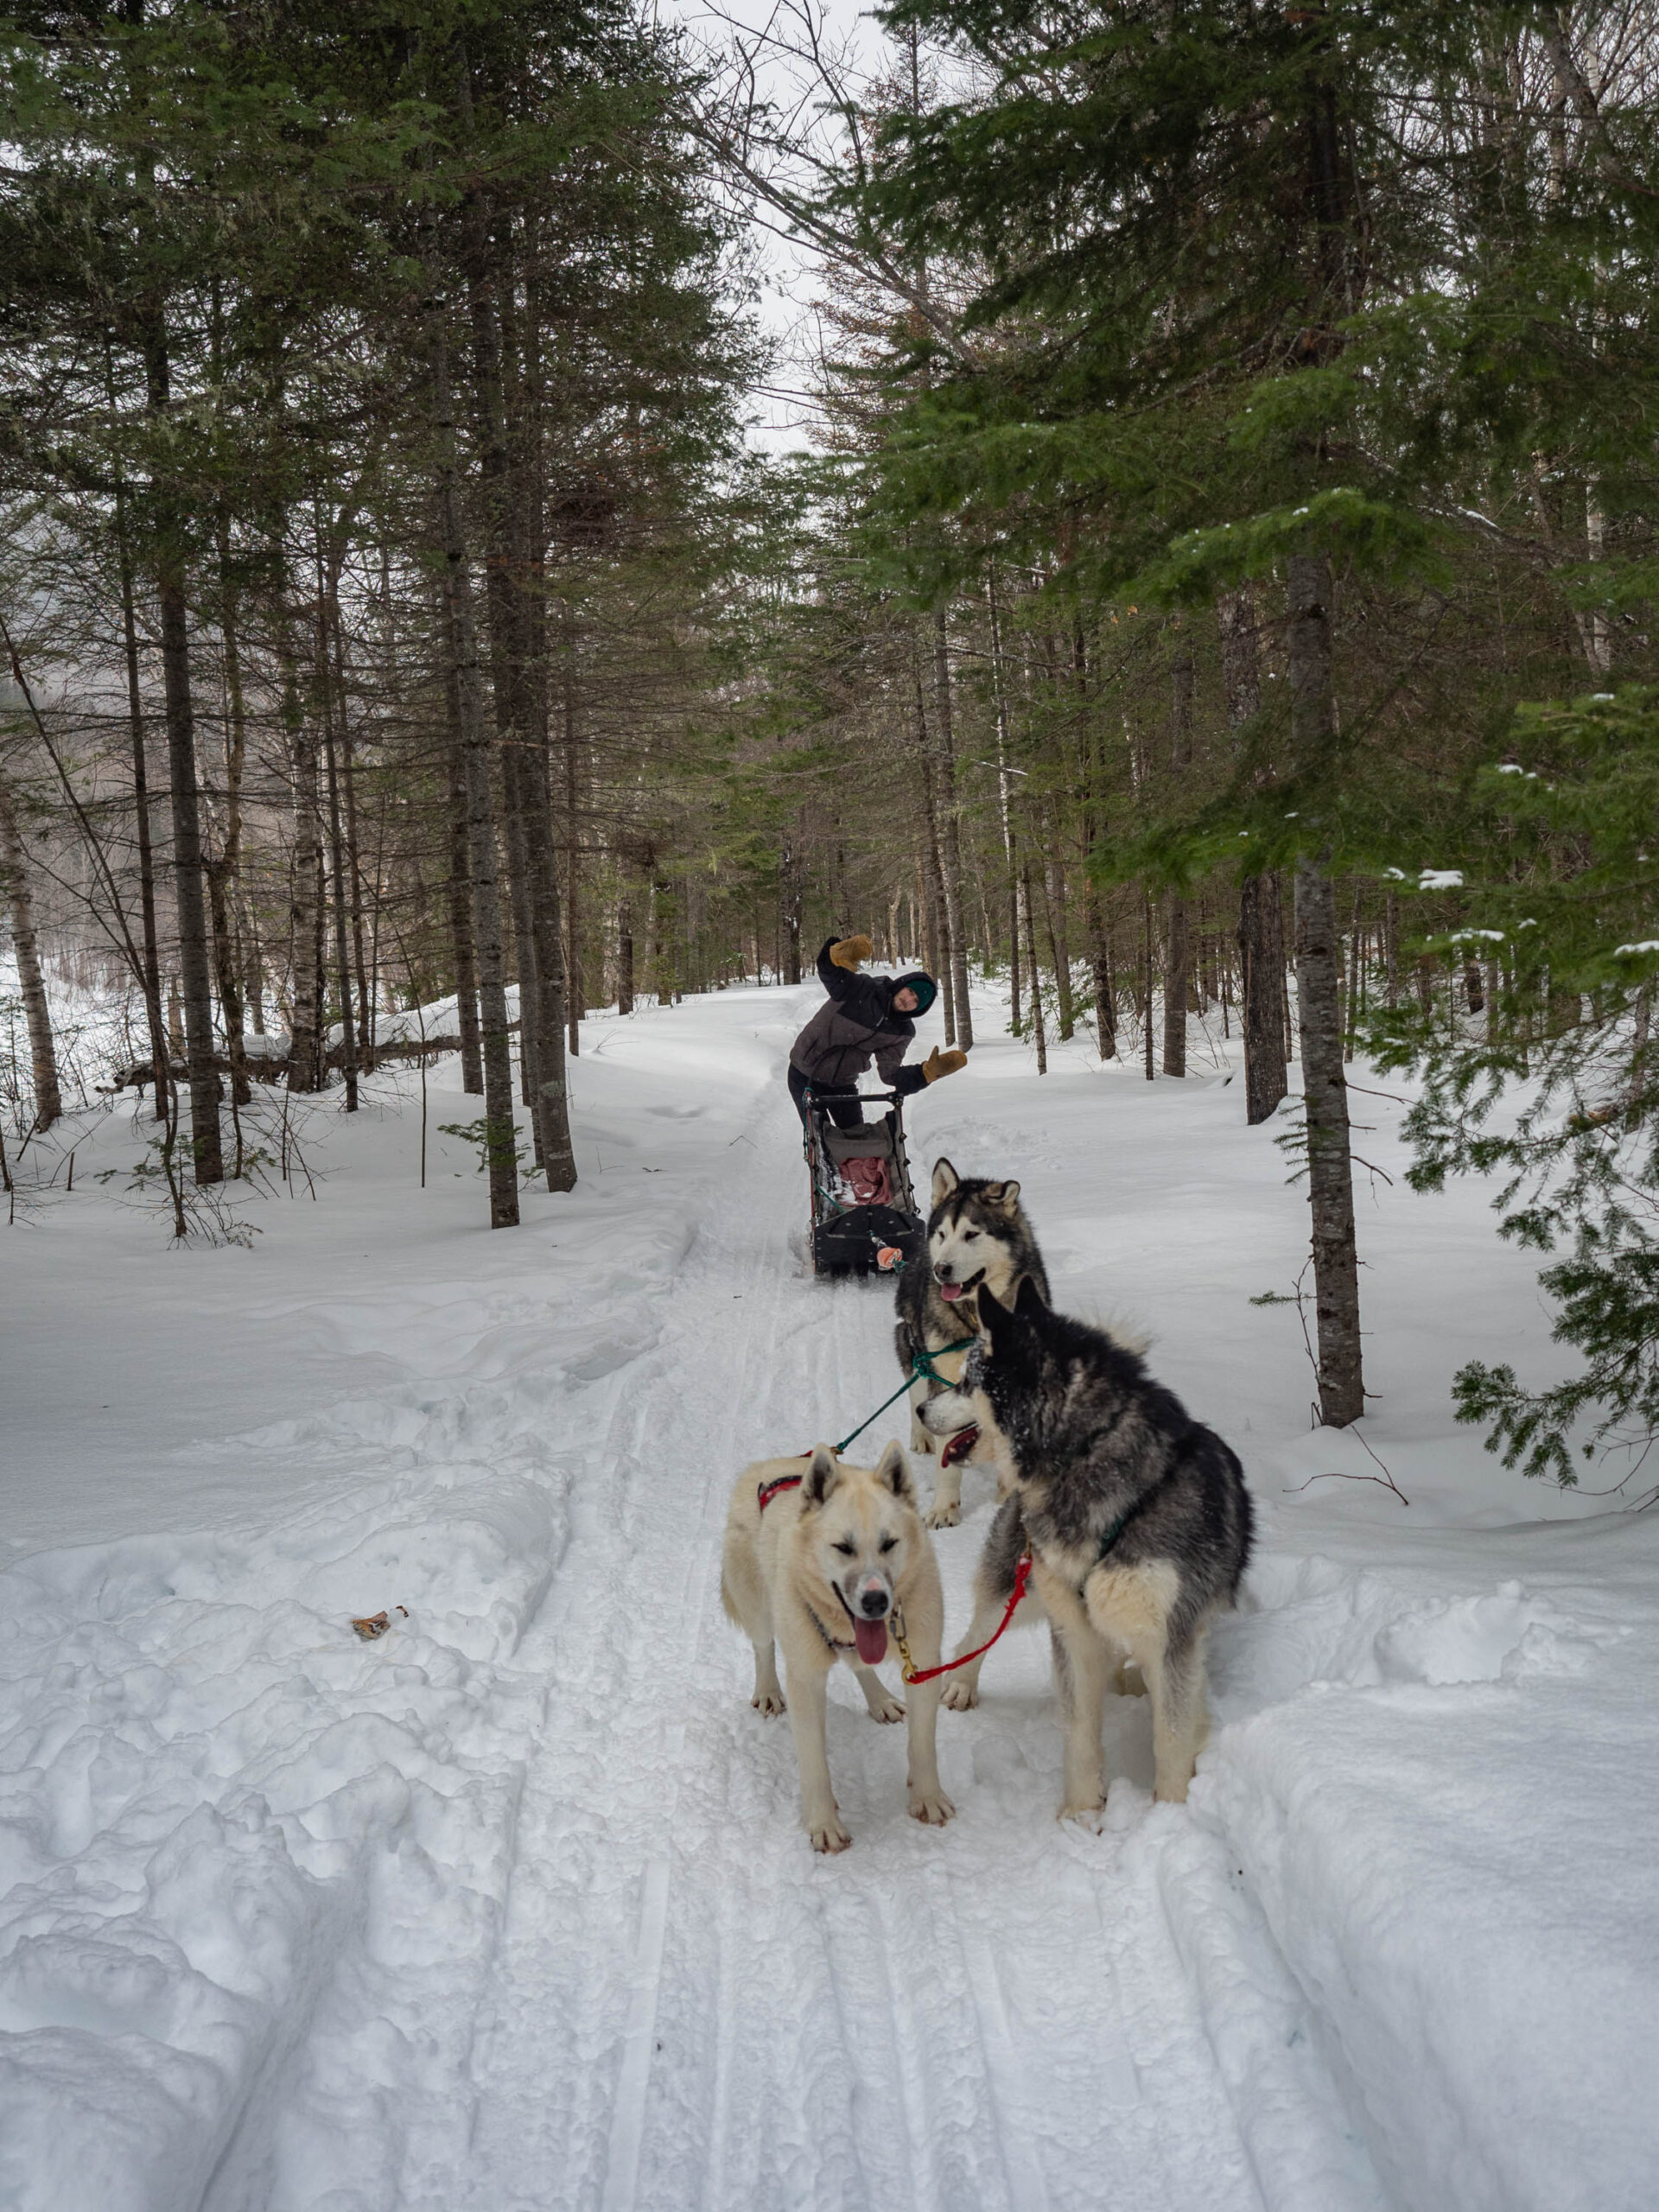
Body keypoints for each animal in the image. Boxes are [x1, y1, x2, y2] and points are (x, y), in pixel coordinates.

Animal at [721, 1433, 955, 1849]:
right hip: (759, 1610)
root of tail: (766, 1466)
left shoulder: (924, 1664)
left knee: (860, 1665)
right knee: (763, 1647)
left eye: (889, 1543)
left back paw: (880, 1699)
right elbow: (815, 1764)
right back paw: (767, 1690)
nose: (876, 1602)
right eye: (843, 1547)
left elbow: (923, 1744)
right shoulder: (805, 1679)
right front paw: (823, 1822)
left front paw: (927, 1796)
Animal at [898, 1159, 1052, 1522]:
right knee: (915, 1394)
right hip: (913, 1350)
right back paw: (921, 1436)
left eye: (971, 1234)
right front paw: (944, 1508)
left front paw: (1007, 1498)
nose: (941, 1269)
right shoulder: (942, 1375)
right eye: (942, 1234)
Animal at [915, 1282, 1256, 1814]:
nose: (921, 1410)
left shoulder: (1172, 1635)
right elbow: (1078, 1731)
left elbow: (1172, 1734)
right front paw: (1079, 1815)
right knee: (975, 1634)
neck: (1089, 1457)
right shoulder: (1073, 1629)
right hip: (1021, 1584)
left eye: (967, 1382)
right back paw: (960, 1684)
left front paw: (1170, 1811)